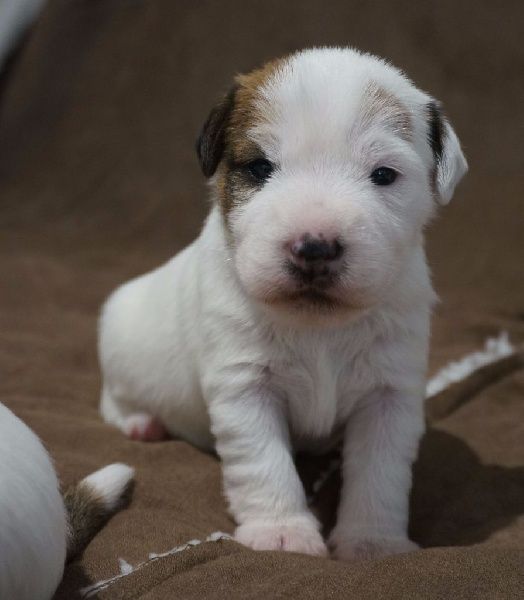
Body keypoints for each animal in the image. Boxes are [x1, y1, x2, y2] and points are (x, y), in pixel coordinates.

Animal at [98, 49, 466, 560]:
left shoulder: (389, 395)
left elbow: (380, 474)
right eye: (258, 168)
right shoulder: (246, 389)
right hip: (121, 340)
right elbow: (265, 462)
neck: (318, 327)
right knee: (112, 398)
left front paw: (373, 541)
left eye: (384, 175)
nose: (314, 247)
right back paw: (140, 423)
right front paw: (282, 532)